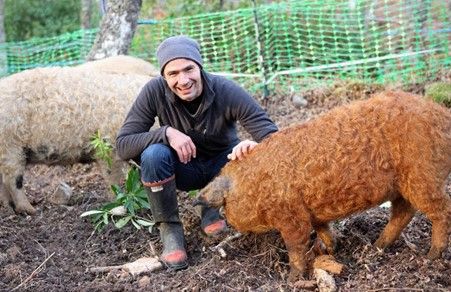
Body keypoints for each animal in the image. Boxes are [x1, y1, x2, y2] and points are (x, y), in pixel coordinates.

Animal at [0, 65, 152, 213]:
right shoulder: (109, 147)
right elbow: (114, 178)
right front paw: (119, 201)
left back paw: (10, 208)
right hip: (10, 145)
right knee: (12, 180)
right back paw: (30, 210)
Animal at [197, 90, 451, 280]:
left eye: (226, 204)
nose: (227, 221)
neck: (256, 184)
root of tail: (443, 115)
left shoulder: (291, 216)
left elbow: (295, 247)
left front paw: (293, 279)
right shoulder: (312, 212)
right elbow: (322, 228)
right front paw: (329, 249)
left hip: (423, 176)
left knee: (441, 210)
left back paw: (432, 255)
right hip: (402, 186)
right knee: (403, 212)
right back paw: (377, 245)